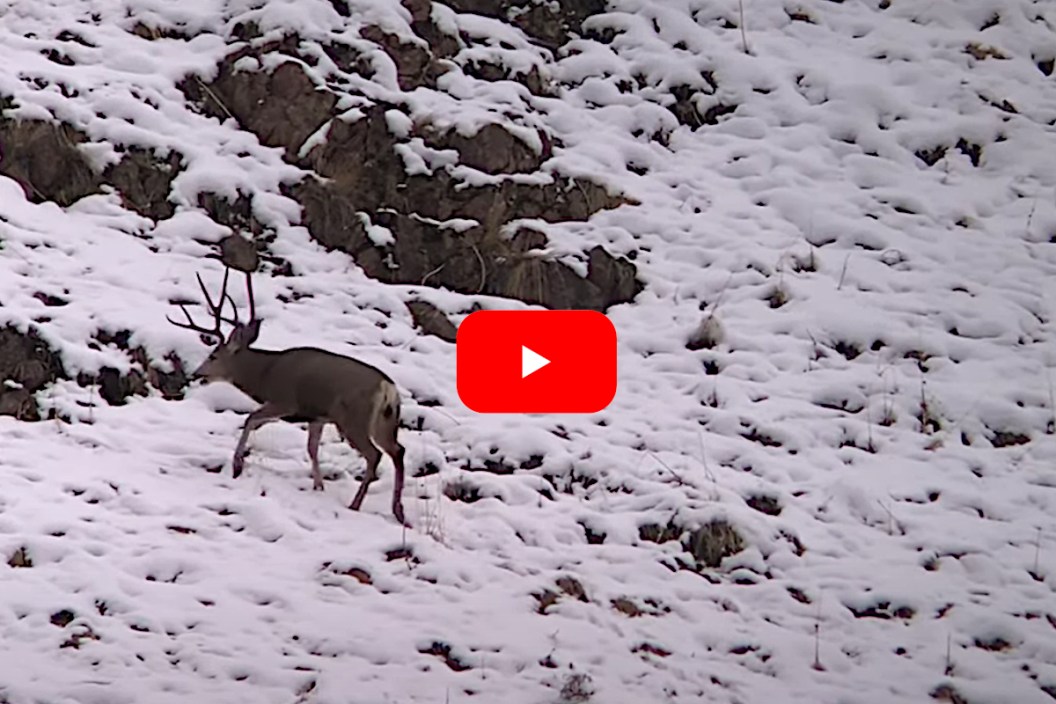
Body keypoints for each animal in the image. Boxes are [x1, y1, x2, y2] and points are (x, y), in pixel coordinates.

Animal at [167, 265, 407, 525]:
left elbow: (251, 418)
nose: (197, 373)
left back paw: (356, 504)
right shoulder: (316, 417)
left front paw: (237, 464)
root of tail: (388, 388)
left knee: (375, 455)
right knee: (398, 451)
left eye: (213, 356)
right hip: (383, 422)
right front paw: (319, 486)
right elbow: (311, 448)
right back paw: (398, 510)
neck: (265, 374)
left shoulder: (285, 401)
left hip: (353, 419)